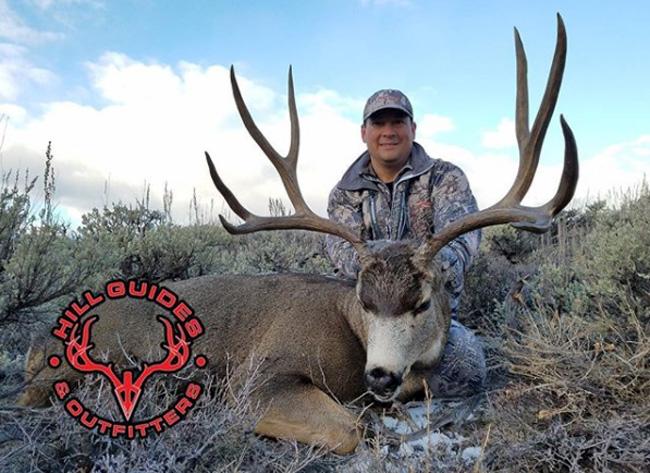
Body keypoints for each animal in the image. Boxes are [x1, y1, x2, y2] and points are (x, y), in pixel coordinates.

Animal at [19, 15, 577, 455]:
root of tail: (44, 335)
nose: (380, 374)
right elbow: (350, 428)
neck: (351, 339)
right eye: (365, 300)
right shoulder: (261, 377)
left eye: (420, 302)